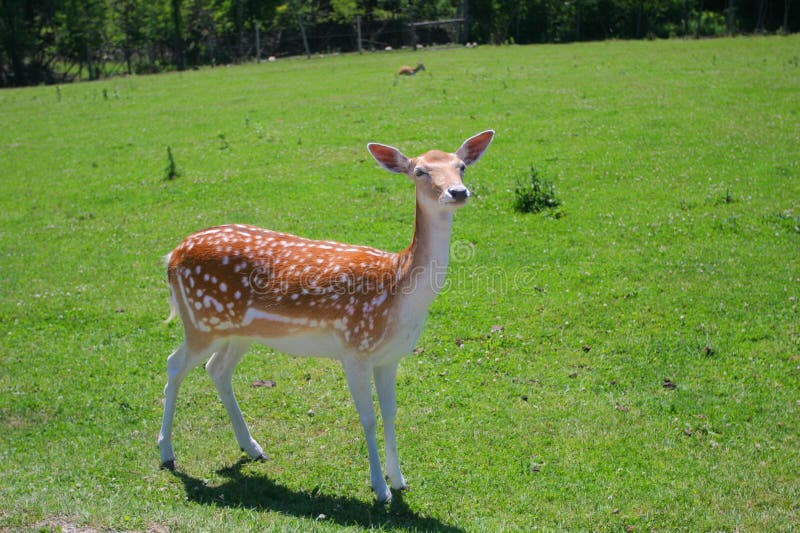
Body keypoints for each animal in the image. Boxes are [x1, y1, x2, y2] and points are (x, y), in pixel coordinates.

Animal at [156, 130, 494, 502]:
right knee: (175, 364)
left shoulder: (390, 356)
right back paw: (167, 452)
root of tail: (171, 256)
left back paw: (252, 447)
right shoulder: (355, 349)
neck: (399, 292)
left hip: (239, 330)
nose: (458, 192)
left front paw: (399, 479)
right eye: (419, 171)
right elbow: (368, 418)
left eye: (461, 166)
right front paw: (379, 489)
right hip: (200, 321)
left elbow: (391, 414)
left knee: (216, 369)